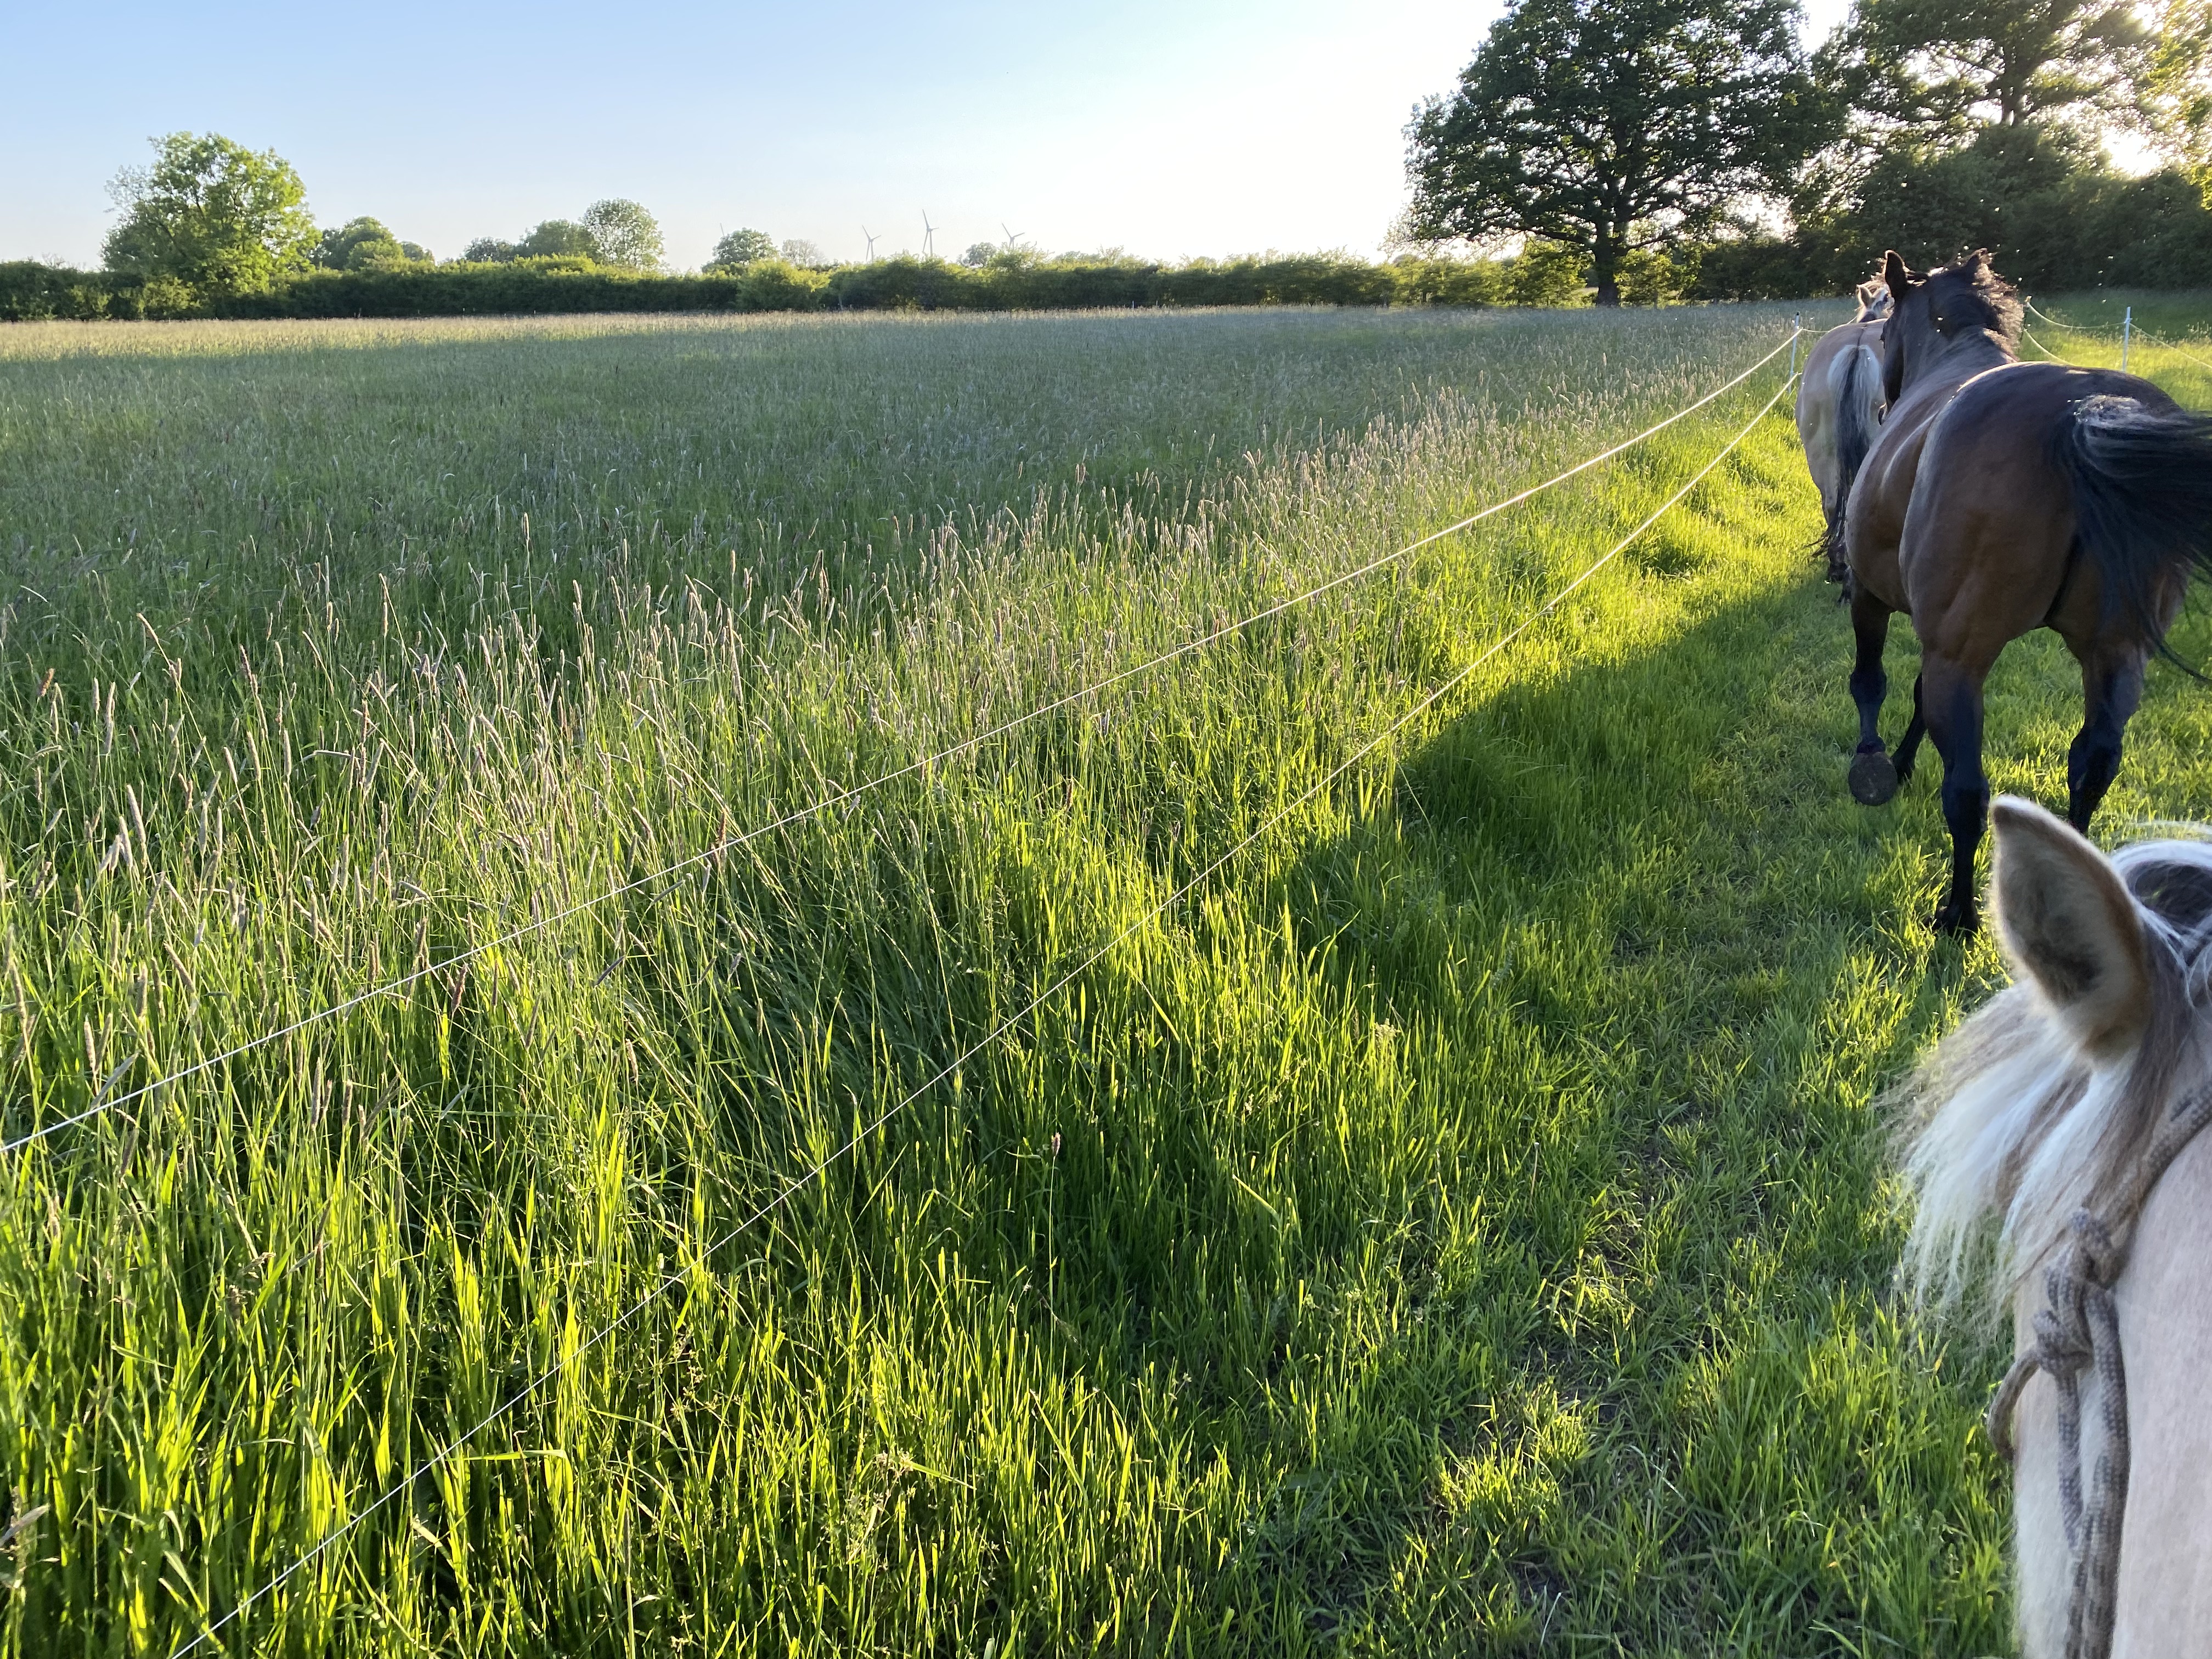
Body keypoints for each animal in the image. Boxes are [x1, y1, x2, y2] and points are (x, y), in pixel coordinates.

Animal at [1842, 249, 2212, 933]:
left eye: (1880, 333)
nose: (1882, 408)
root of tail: (2083, 412)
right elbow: (1913, 694)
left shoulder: (1878, 602)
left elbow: (1872, 682)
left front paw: (1876, 764)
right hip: (2114, 656)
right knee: (2093, 766)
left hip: (1963, 660)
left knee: (1967, 790)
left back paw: (1958, 913)